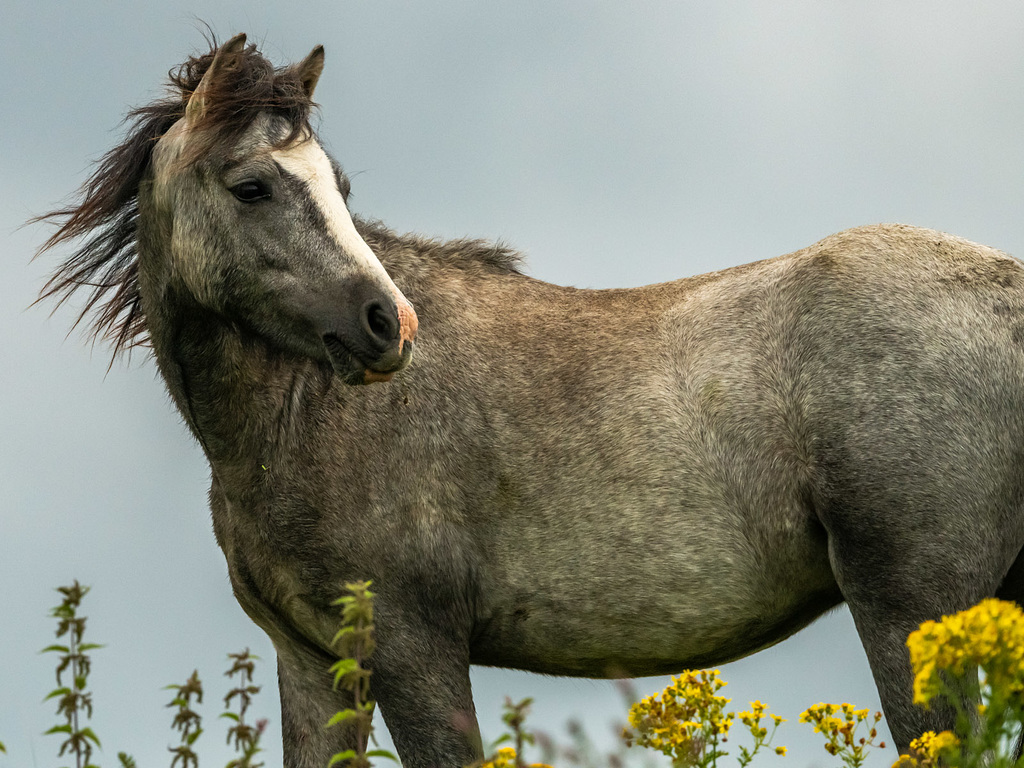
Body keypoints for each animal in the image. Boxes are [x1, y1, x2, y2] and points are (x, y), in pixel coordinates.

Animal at [36, 34, 1024, 768]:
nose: (387, 325)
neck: (296, 422)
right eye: (251, 186)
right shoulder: (314, 662)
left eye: (339, 188)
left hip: (907, 611)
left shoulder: (414, 648)